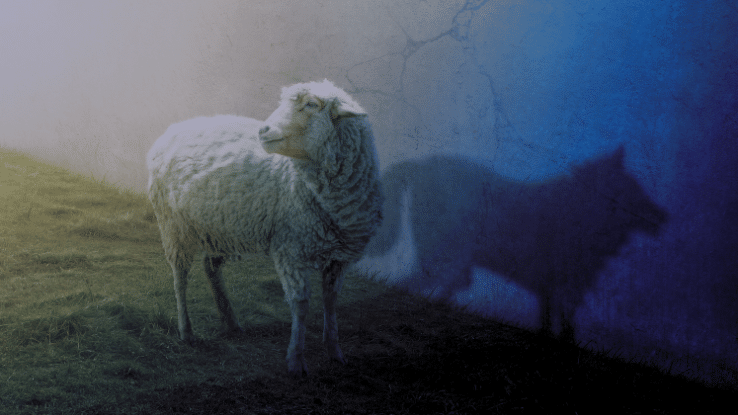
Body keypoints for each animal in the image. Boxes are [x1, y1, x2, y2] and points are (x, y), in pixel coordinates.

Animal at [146, 79, 383, 376]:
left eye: (311, 104)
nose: (263, 131)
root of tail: (172, 129)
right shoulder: (291, 250)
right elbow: (301, 305)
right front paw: (296, 360)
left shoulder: (339, 257)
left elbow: (331, 301)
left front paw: (335, 351)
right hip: (174, 226)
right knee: (180, 277)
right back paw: (186, 330)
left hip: (218, 226)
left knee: (211, 268)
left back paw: (231, 321)